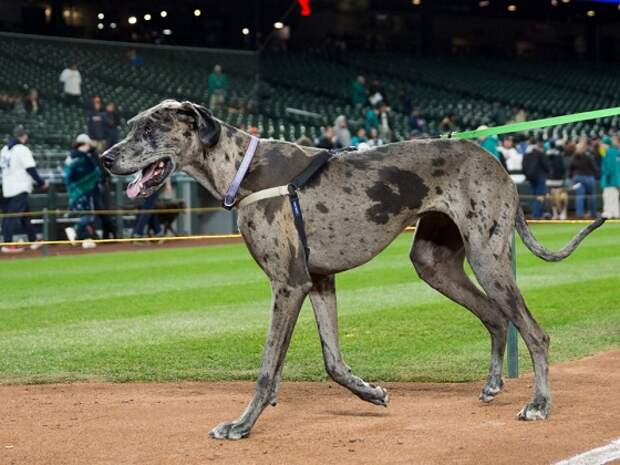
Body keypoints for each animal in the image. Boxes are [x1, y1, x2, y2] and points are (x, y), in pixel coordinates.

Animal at [101, 100, 604, 438]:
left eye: (150, 129)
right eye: (129, 127)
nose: (105, 158)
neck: (242, 168)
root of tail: (496, 162)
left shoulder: (289, 284)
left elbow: (267, 367)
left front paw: (242, 425)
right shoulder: (319, 280)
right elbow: (332, 361)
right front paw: (371, 392)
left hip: (487, 256)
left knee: (536, 333)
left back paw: (539, 404)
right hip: (436, 263)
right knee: (497, 318)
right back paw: (494, 385)